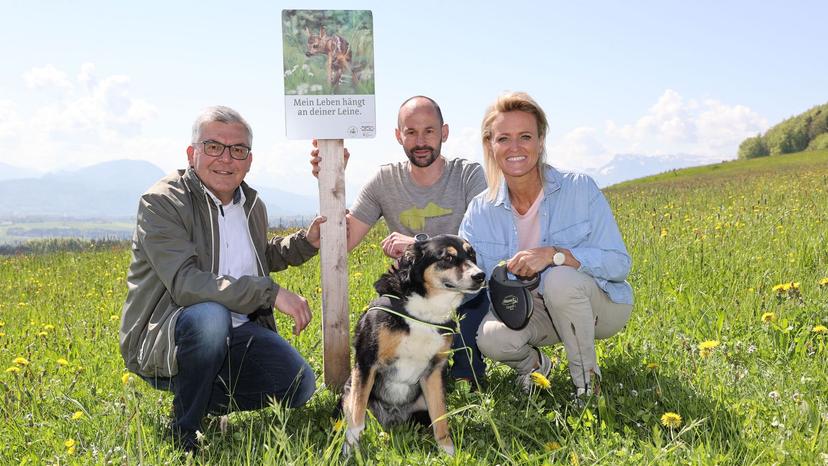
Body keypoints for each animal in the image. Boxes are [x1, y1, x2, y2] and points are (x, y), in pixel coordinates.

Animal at [342, 235, 488, 454]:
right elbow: (357, 417)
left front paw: (448, 452)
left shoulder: (434, 372)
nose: (480, 275)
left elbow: (440, 417)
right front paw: (351, 449)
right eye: (448, 257)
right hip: (348, 391)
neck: (424, 312)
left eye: (472, 255)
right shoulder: (367, 363)